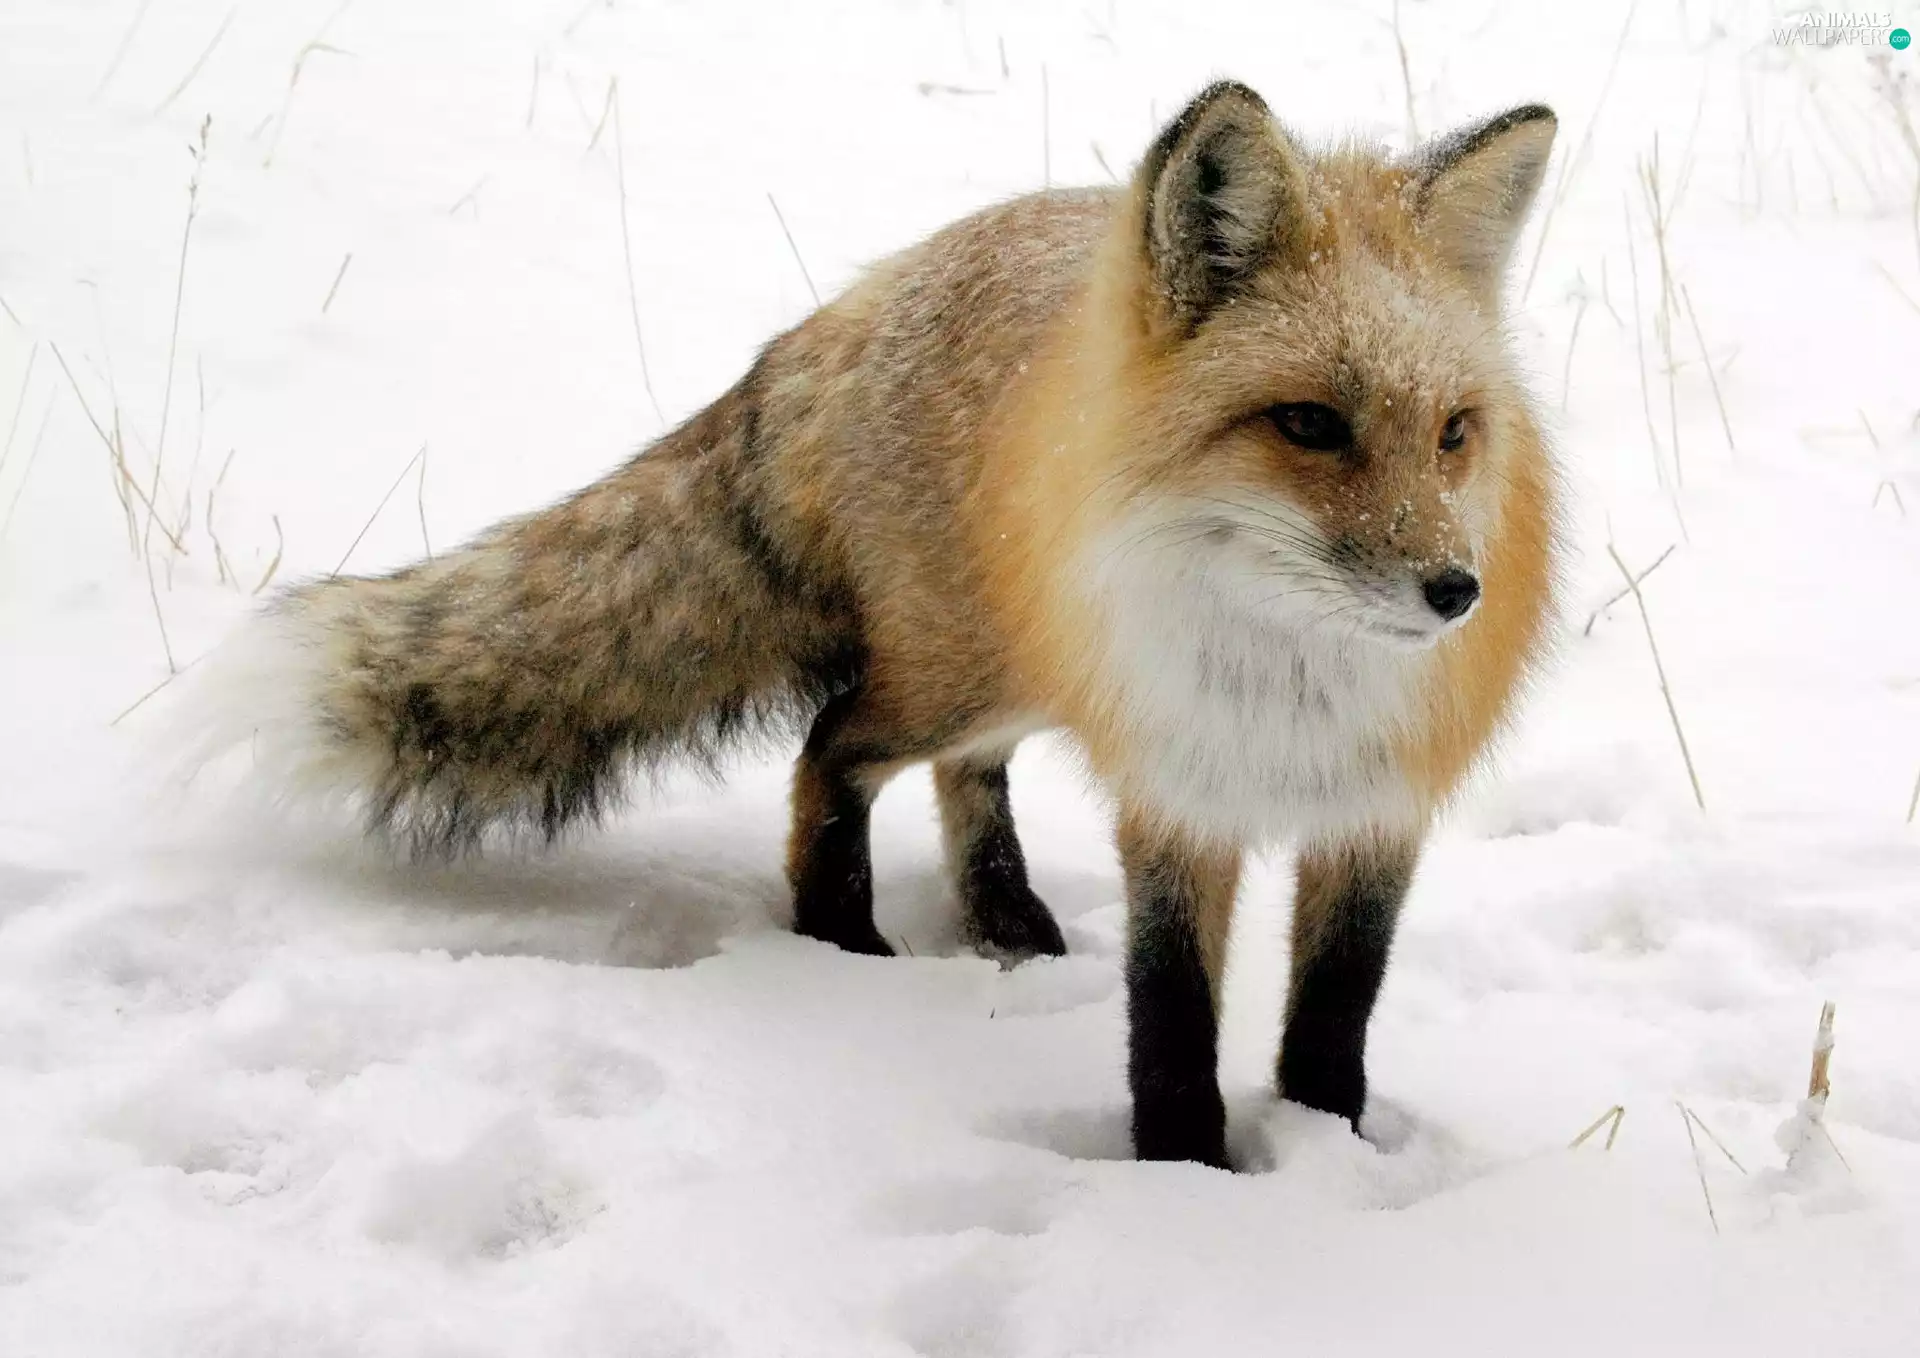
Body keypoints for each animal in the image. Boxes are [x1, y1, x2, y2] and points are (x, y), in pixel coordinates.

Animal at [190, 82, 1561, 1169]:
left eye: (1454, 432)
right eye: (1310, 424)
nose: (1455, 591)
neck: (1291, 679)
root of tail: (850, 304)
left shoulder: (1378, 808)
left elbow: (1336, 1006)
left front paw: (1330, 1143)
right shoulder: (1175, 789)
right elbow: (1170, 1012)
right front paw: (1185, 1173)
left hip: (1013, 672)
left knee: (960, 775)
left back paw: (1003, 918)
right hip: (966, 668)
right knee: (832, 746)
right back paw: (837, 934)